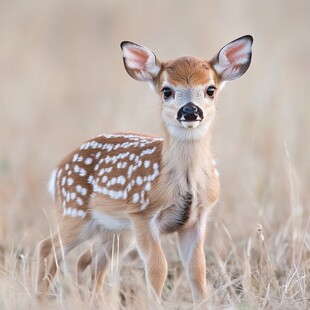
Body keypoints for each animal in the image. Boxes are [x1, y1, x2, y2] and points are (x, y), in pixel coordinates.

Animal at [35, 35, 252, 306]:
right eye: (167, 90)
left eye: (210, 89)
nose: (190, 111)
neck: (186, 180)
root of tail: (57, 172)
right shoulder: (142, 214)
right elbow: (158, 268)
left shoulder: (197, 218)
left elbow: (198, 270)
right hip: (74, 213)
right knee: (48, 248)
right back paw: (40, 299)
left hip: (115, 231)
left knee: (89, 262)